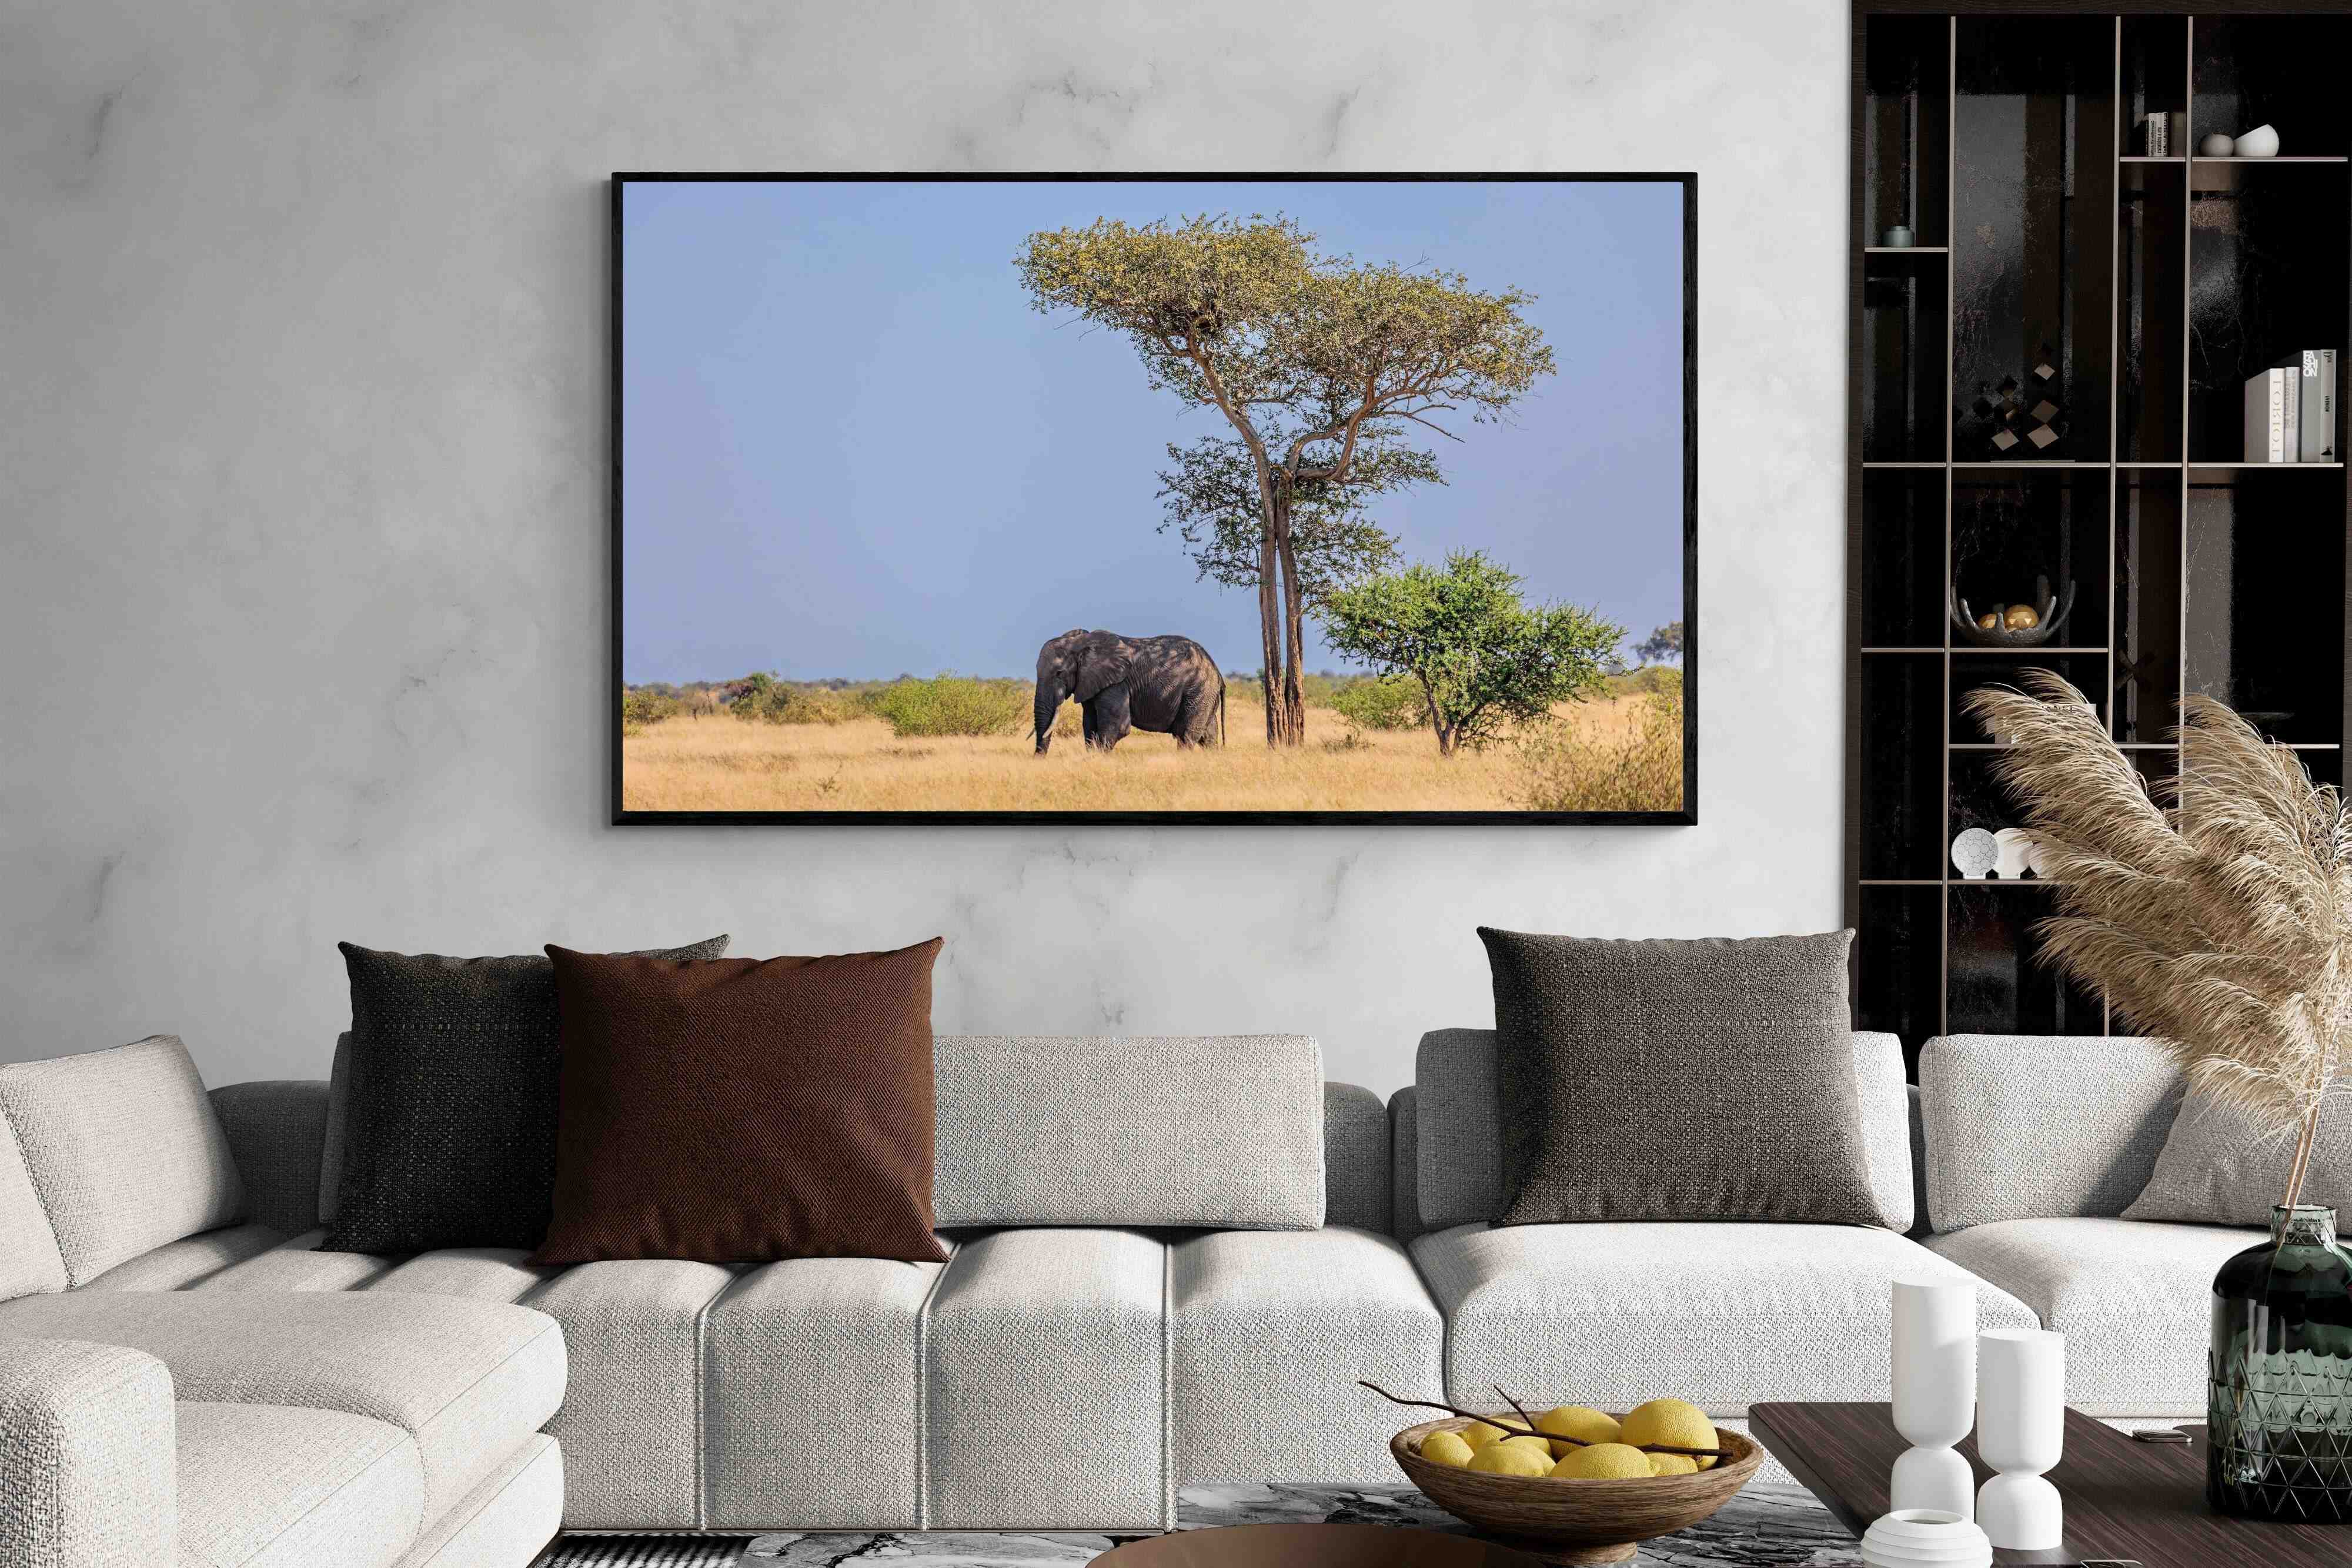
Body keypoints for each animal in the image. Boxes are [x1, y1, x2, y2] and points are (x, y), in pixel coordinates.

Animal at [1033, 629, 1225, 754]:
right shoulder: (1090, 683)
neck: (1080, 642)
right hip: (1205, 694)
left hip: (1198, 690)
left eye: (1059, 673)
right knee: (1208, 737)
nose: (1038, 758)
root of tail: (1217, 670)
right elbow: (1089, 726)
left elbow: (1117, 727)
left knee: (1186, 735)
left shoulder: (1117, 684)